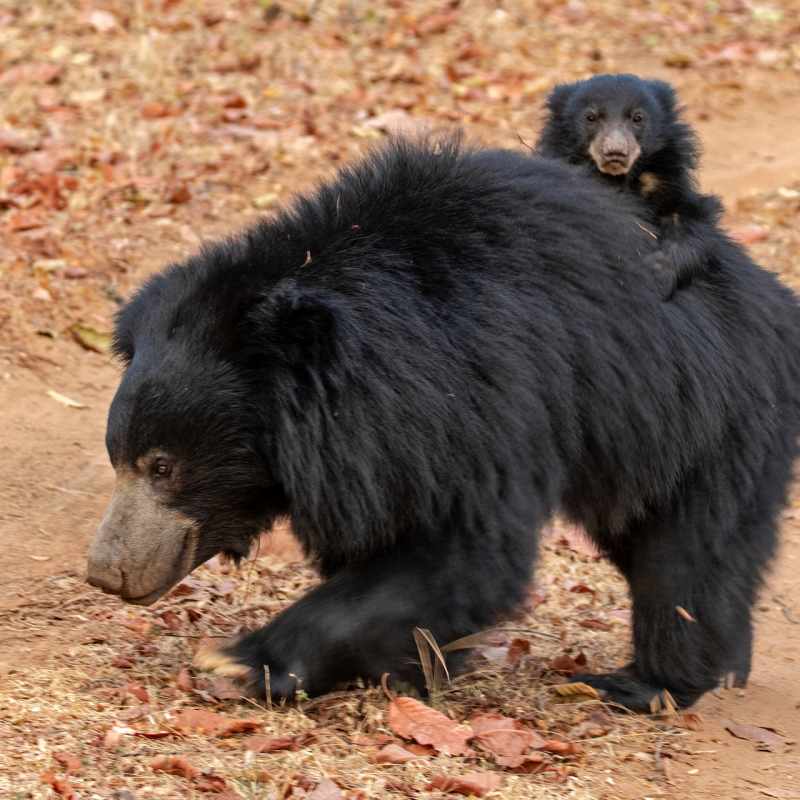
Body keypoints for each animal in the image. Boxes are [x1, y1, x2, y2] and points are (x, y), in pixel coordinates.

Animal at [86, 136, 800, 712]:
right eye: (118, 458)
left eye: (163, 466)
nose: (106, 573)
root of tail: (774, 302)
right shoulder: (383, 444)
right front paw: (418, 665)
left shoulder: (480, 394)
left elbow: (466, 549)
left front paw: (239, 662)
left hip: (711, 418)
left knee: (686, 560)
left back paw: (648, 684)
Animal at [536, 73, 722, 300]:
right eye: (591, 117)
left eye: (637, 118)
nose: (615, 152)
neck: (619, 178)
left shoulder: (668, 177)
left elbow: (689, 217)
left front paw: (658, 274)